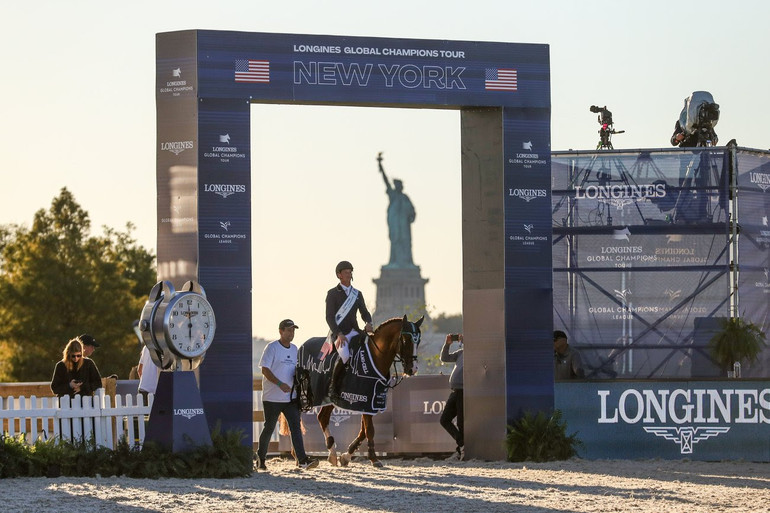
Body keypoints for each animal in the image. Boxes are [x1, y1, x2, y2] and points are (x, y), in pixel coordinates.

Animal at [300, 314, 424, 466]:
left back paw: (332, 453)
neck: (376, 357)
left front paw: (346, 456)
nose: (413, 369)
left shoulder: (370, 403)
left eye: (418, 341)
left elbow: (364, 431)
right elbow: (369, 430)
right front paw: (374, 458)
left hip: (328, 400)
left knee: (322, 418)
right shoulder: (365, 399)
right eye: (405, 340)